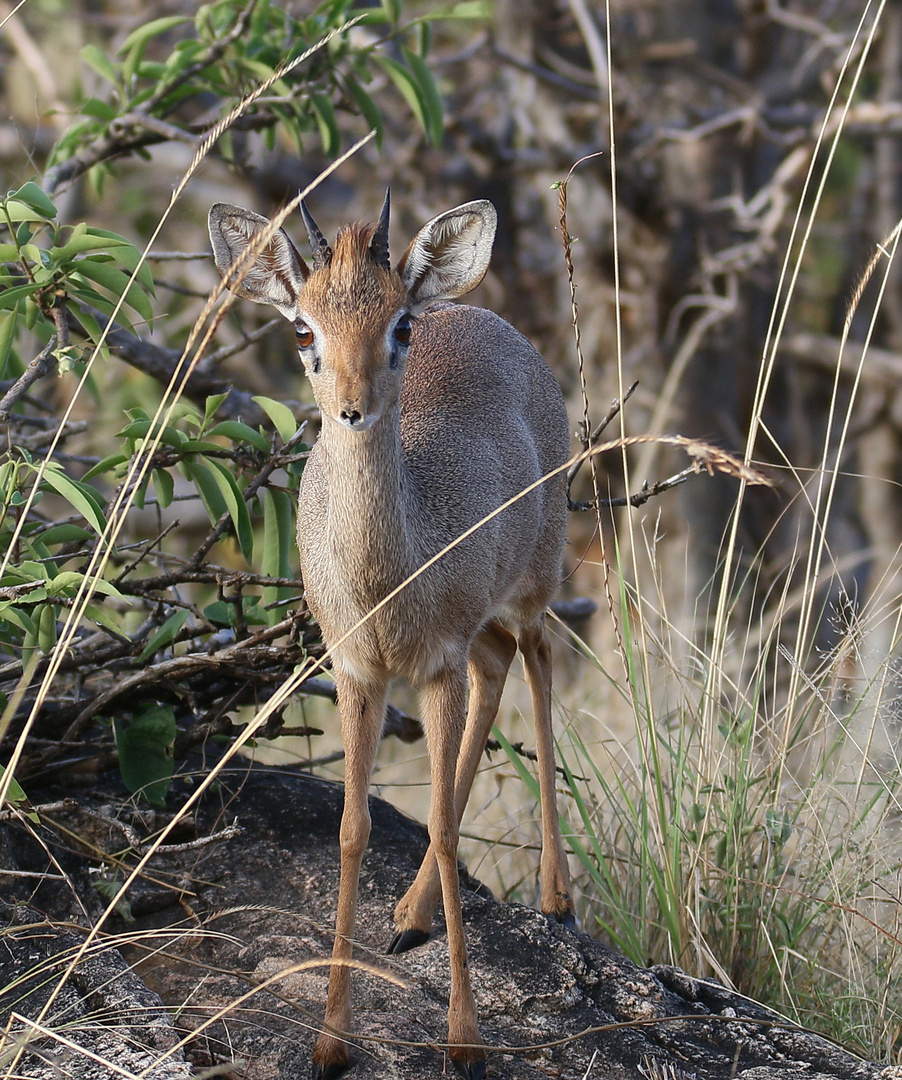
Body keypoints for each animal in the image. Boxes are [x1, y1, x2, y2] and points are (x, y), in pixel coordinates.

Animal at [208, 194, 574, 1080]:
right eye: (301, 329)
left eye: (399, 324)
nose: (351, 407)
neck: (388, 583)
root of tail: (477, 310)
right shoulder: (357, 672)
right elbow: (353, 830)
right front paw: (331, 1042)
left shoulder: (433, 670)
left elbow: (441, 826)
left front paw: (466, 1042)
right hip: (480, 633)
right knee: (498, 669)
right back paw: (409, 917)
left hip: (535, 584)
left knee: (539, 663)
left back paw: (557, 899)